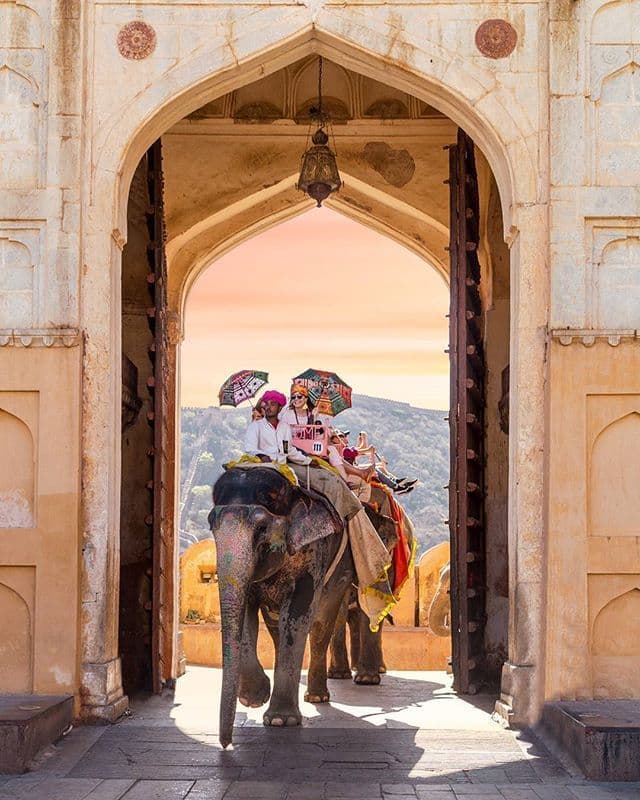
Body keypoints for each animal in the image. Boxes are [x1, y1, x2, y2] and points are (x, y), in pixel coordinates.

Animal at [209, 465, 395, 748]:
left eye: (262, 528)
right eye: (211, 525)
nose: (225, 743)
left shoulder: (314, 552)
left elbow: (298, 615)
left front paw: (279, 720)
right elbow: (247, 615)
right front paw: (253, 698)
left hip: (344, 570)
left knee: (323, 625)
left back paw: (322, 695)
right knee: (279, 628)